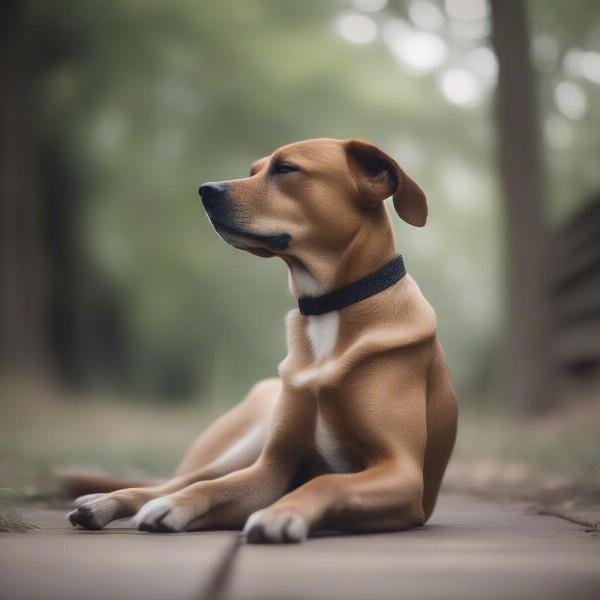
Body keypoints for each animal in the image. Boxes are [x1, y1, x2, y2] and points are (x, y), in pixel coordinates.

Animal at [68, 138, 458, 540]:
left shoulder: (401, 471)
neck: (329, 308)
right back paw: (106, 501)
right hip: (239, 450)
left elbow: (327, 482)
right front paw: (173, 506)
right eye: (253, 170)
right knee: (181, 480)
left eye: (285, 169)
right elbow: (213, 487)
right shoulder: (272, 465)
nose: (205, 190)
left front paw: (281, 512)